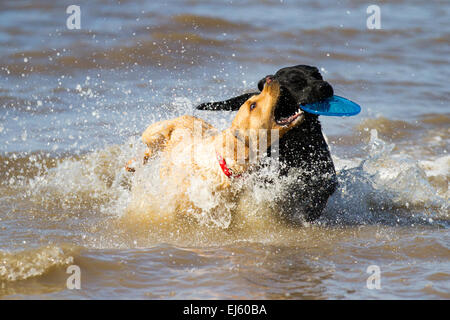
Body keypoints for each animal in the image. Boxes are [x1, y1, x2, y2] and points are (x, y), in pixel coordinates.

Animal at [197, 65, 338, 222]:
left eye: (318, 75)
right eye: (296, 81)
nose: (325, 86)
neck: (295, 139)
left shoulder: (323, 168)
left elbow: (325, 187)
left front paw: (311, 211)